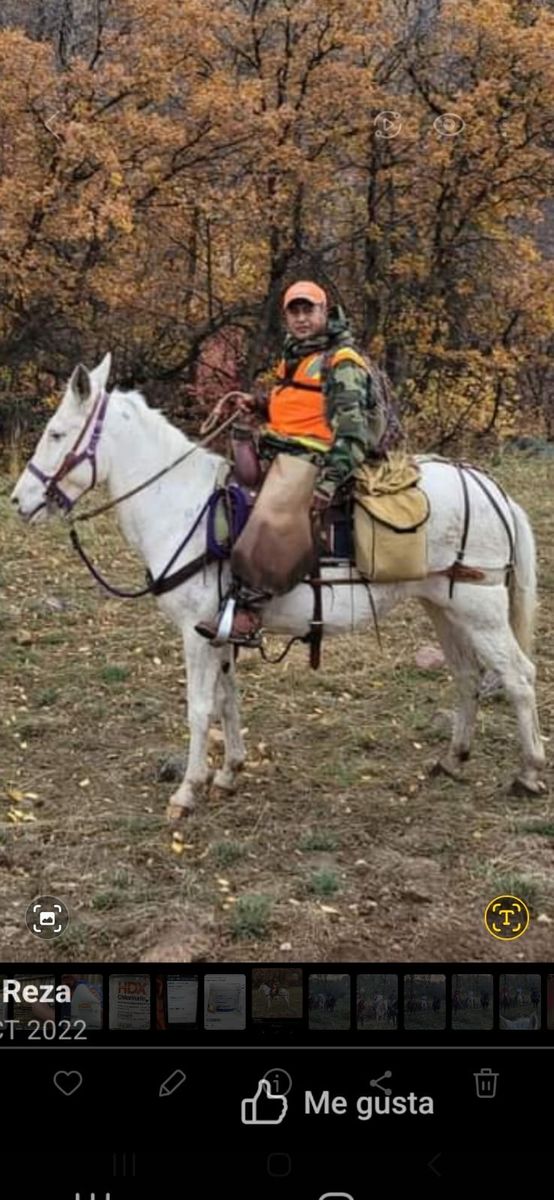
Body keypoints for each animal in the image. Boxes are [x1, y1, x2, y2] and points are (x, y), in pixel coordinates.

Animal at [9, 353, 546, 821]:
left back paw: (529, 773)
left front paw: (187, 790)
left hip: (480, 610)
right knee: (467, 675)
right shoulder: (220, 630)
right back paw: (453, 759)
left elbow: (199, 708)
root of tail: (492, 489)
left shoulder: (193, 631)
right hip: (444, 605)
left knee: (518, 676)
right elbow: (227, 699)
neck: (183, 504)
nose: (19, 500)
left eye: (56, 433)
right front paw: (229, 772)